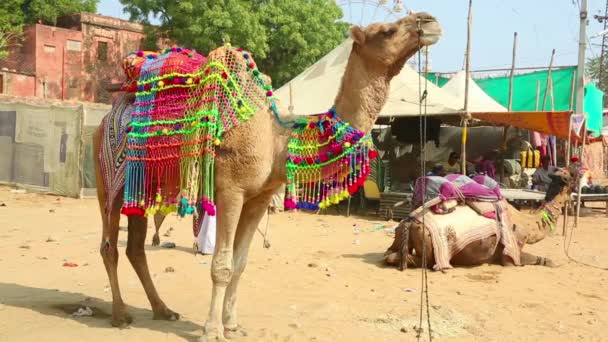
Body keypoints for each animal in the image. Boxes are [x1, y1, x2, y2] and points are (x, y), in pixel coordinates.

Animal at [92, 12, 440, 340]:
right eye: (387, 31)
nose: (430, 21)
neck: (277, 140)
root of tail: (106, 118)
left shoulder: (259, 198)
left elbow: (240, 263)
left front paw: (232, 325)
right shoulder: (231, 190)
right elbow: (221, 265)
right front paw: (212, 331)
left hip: (141, 186)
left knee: (135, 248)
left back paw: (163, 310)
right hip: (106, 179)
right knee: (109, 245)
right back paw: (120, 314)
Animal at [384, 168, 576, 270]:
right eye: (571, 177)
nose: (579, 173)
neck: (526, 224)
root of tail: (409, 221)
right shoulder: (511, 253)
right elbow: (541, 260)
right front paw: (553, 263)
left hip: (400, 232)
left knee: (390, 254)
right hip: (430, 246)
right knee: (424, 261)